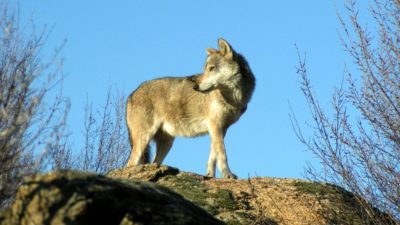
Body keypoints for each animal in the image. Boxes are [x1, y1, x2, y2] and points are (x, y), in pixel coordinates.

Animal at [126, 38, 256, 178]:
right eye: (205, 69)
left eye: (211, 68)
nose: (195, 87)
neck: (233, 98)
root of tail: (130, 95)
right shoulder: (215, 125)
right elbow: (222, 154)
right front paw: (228, 174)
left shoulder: (221, 128)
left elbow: (213, 156)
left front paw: (210, 175)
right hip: (144, 139)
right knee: (130, 164)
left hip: (167, 142)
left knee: (153, 162)